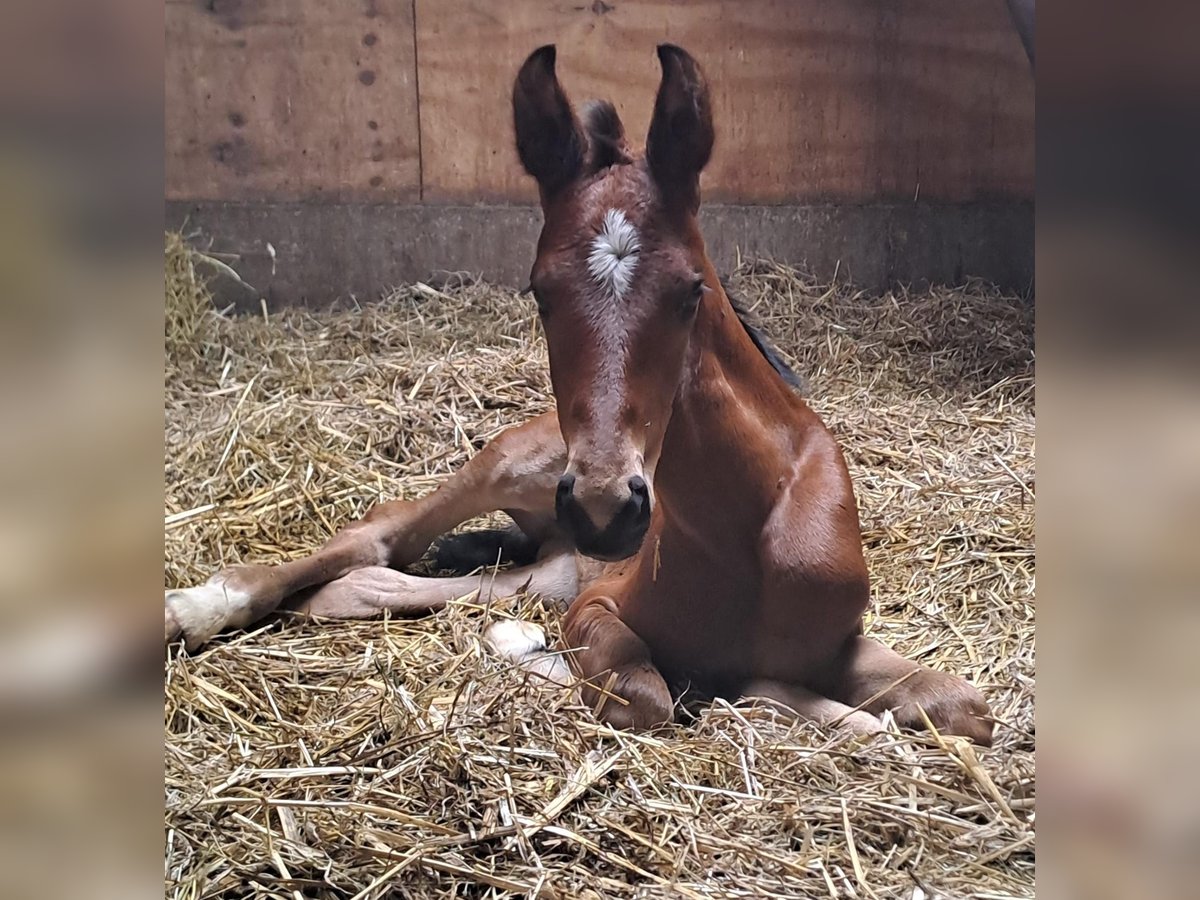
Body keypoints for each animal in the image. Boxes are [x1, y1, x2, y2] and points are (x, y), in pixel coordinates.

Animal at [169, 44, 993, 748]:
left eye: (691, 291)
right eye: (540, 292)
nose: (604, 505)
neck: (757, 528)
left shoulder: (837, 640)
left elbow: (964, 707)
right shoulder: (603, 606)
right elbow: (652, 694)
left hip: (552, 558)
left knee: (403, 582)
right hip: (509, 466)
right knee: (380, 536)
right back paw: (197, 607)